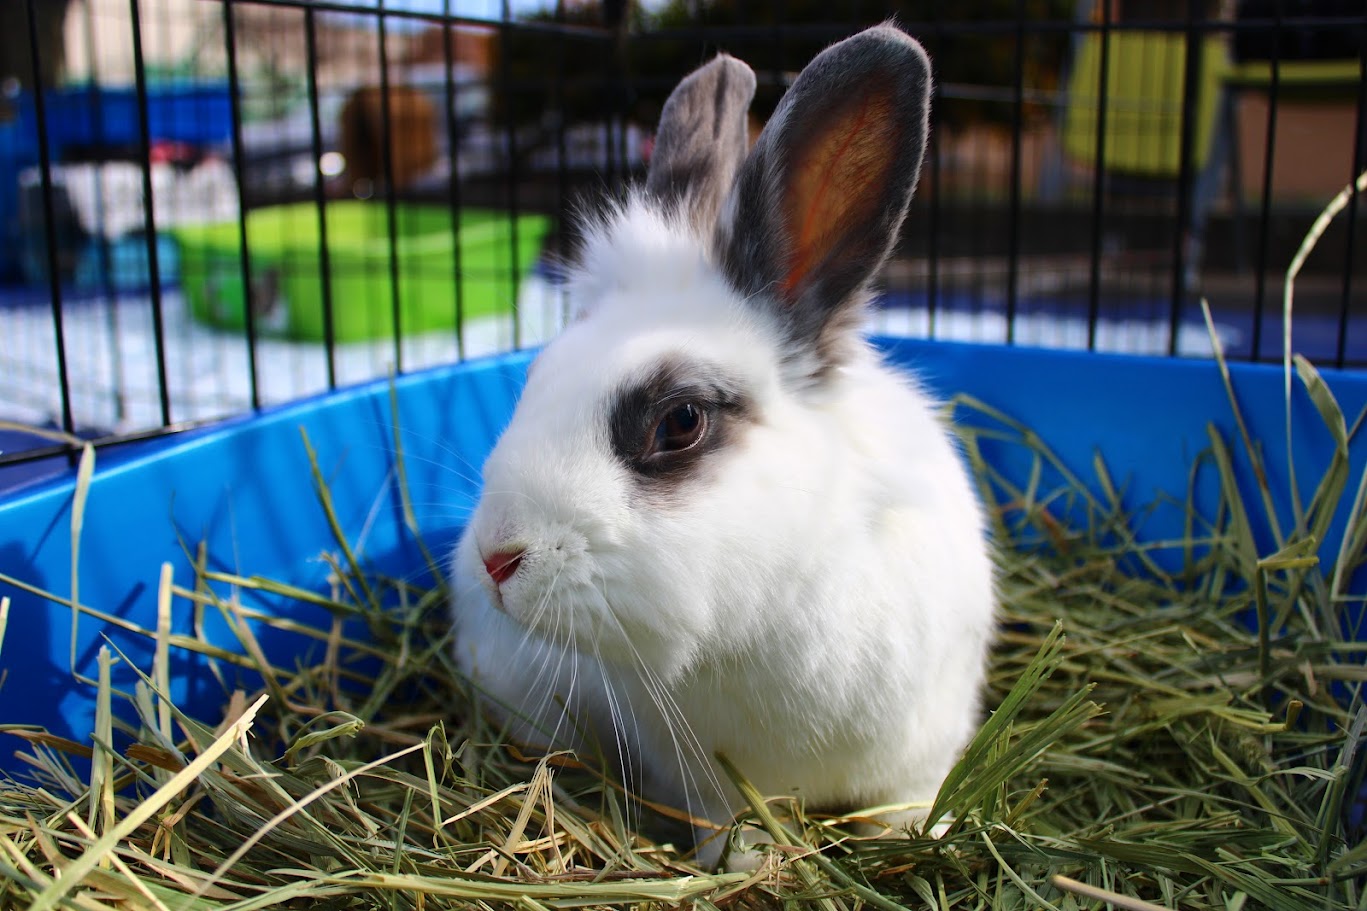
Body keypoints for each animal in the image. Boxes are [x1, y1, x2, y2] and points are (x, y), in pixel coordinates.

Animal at [449, 23, 997, 869]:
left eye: (679, 422)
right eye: (534, 377)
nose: (496, 559)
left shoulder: (922, 748)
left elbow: (908, 802)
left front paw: (917, 837)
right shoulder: (707, 783)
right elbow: (730, 824)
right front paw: (746, 863)